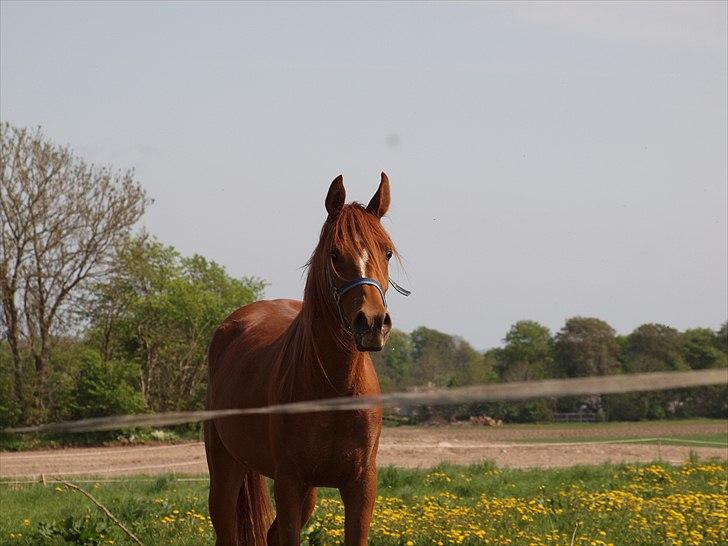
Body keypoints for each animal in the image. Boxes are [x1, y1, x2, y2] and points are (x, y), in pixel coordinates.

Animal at [205, 172, 406, 540]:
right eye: (335, 254)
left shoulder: (361, 487)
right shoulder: (289, 483)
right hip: (226, 471)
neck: (334, 389)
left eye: (386, 253)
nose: (372, 323)